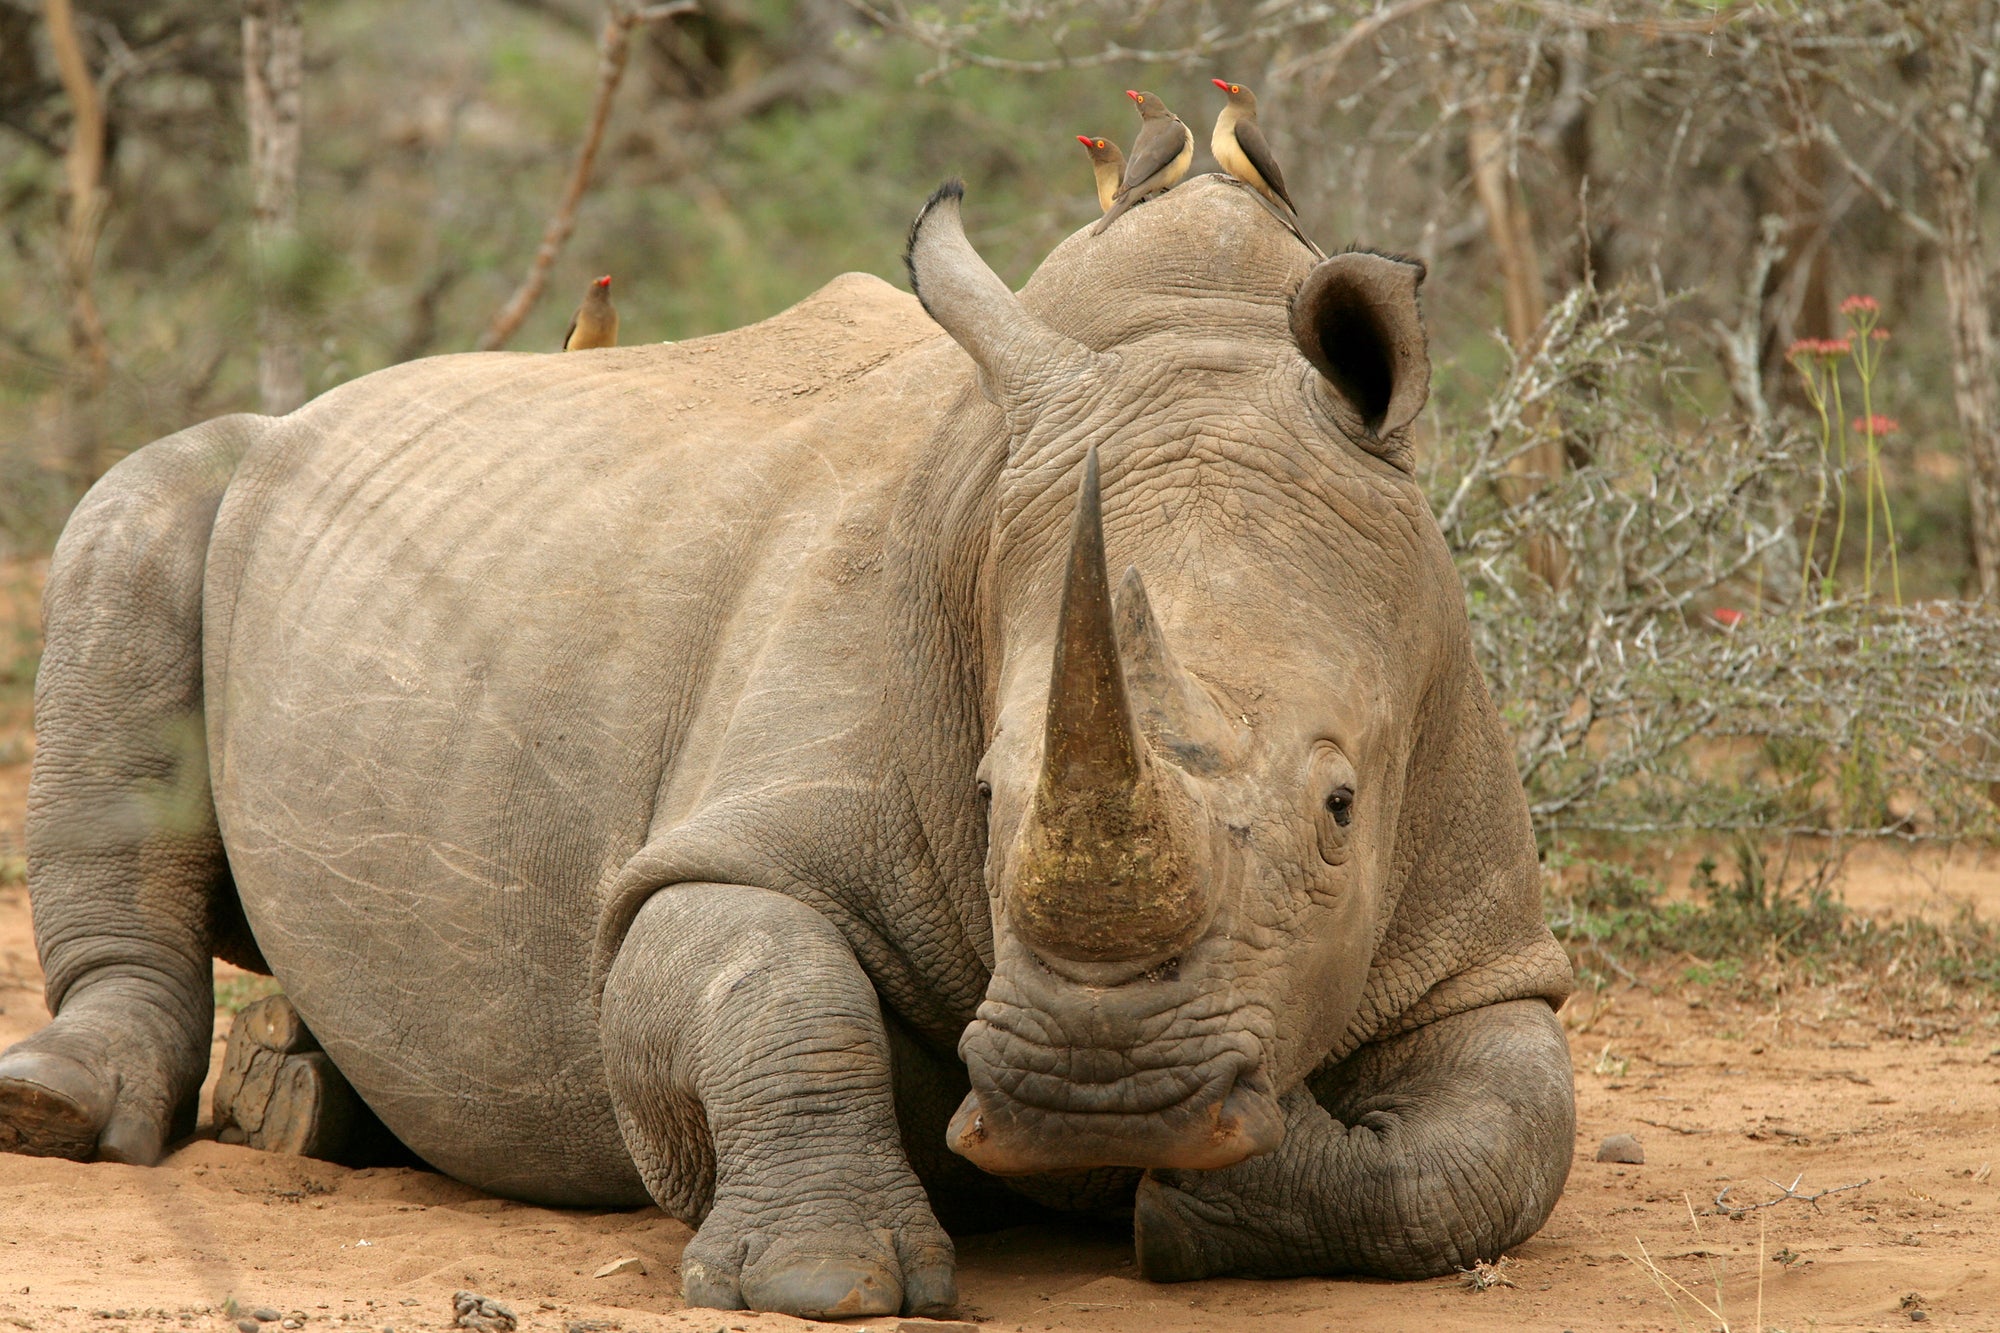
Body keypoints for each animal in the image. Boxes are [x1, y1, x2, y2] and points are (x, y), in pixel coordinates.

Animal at [0, 175, 1575, 1318]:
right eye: (987, 793)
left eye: (1340, 806)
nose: (1098, 1093)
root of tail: (327, 403)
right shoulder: (720, 846)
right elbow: (766, 975)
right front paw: (825, 1277)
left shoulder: (1482, 940)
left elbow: (1494, 1148)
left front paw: (1204, 1184)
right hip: (232, 483)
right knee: (132, 513)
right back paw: (66, 1108)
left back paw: (303, 1106)